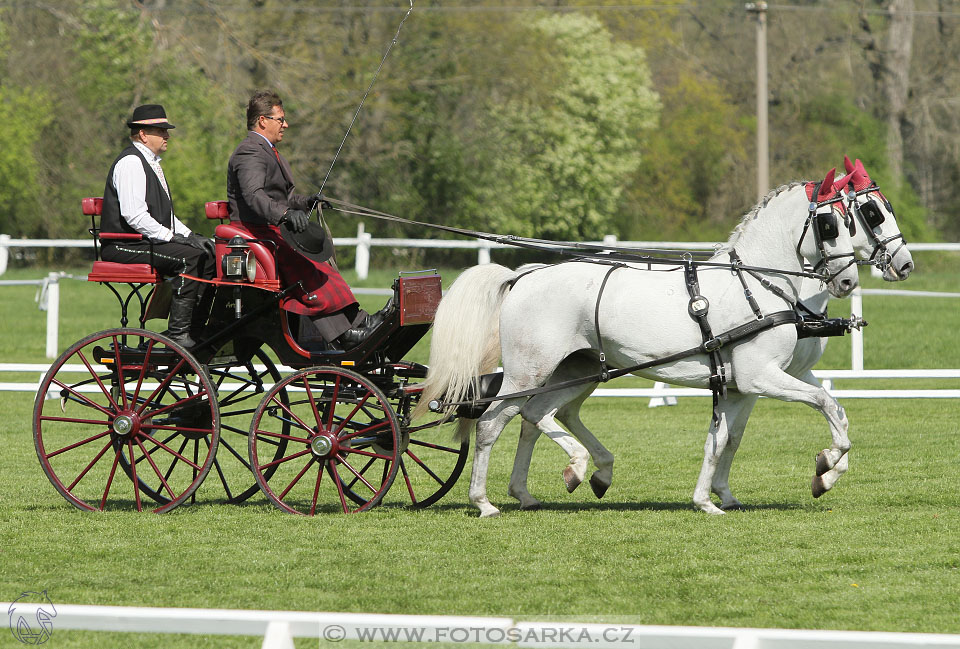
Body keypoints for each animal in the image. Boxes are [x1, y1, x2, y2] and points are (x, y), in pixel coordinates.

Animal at [418, 168, 864, 516]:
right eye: (830, 224)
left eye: (851, 221)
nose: (848, 282)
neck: (754, 284)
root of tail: (524, 276)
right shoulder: (761, 378)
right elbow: (827, 405)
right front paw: (827, 462)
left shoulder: (738, 387)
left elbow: (723, 440)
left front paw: (708, 500)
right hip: (527, 373)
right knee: (493, 423)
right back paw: (486, 501)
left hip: (575, 370)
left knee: (536, 415)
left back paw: (555, 482)